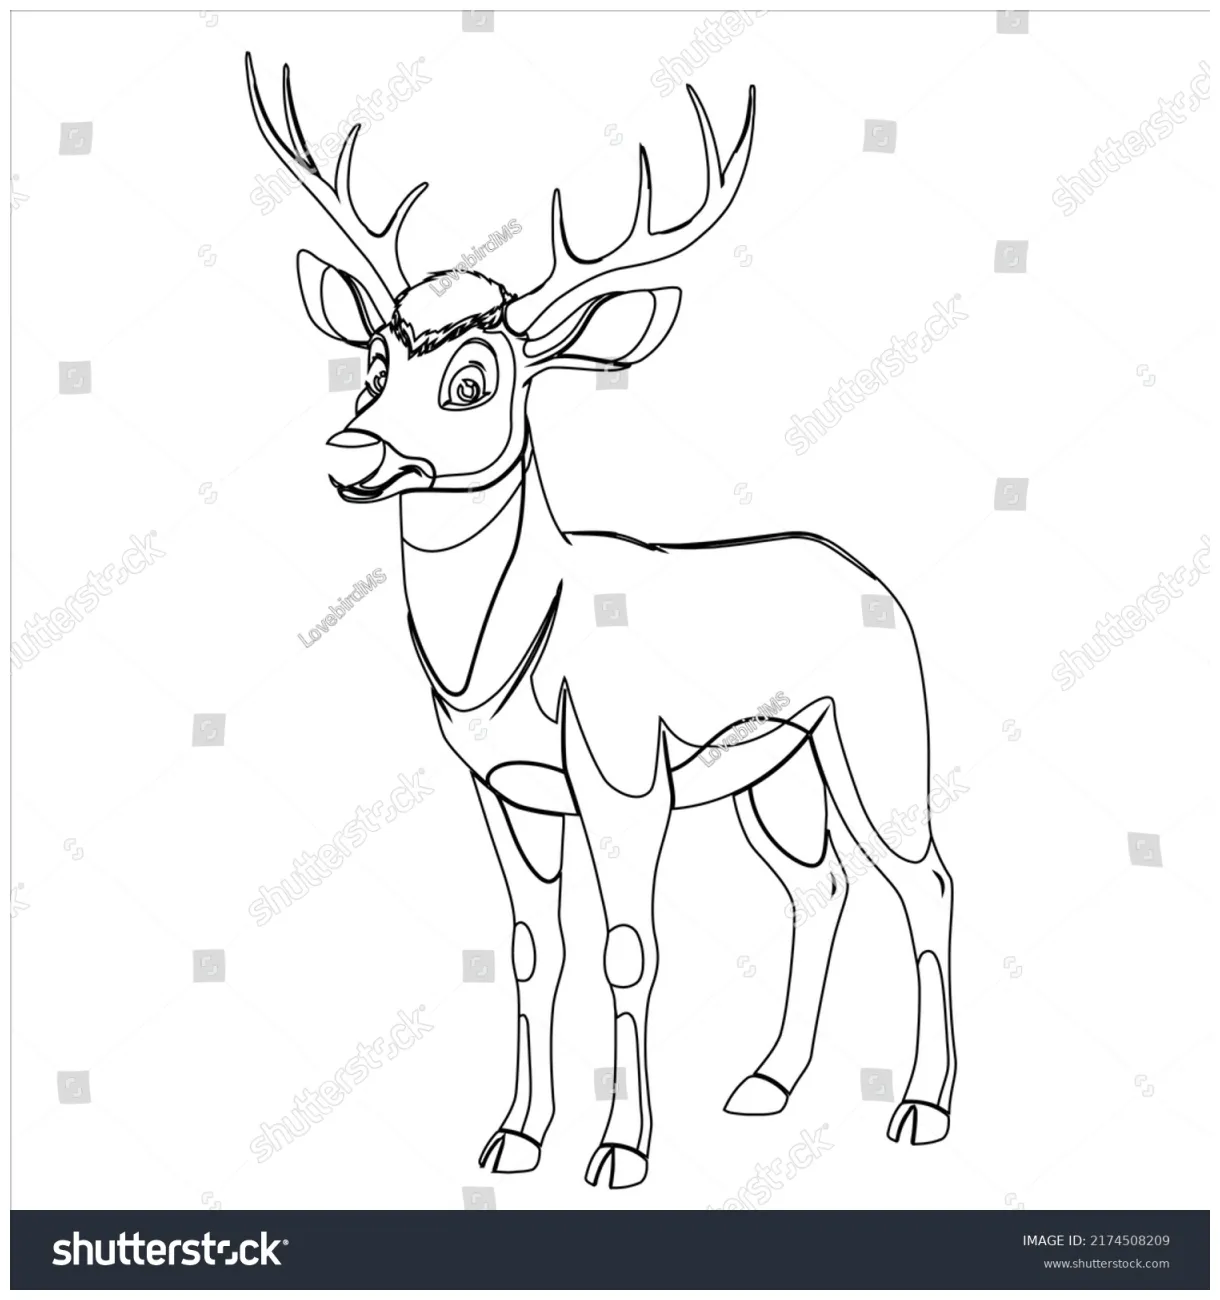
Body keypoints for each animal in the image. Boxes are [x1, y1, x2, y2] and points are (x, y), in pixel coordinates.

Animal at [247, 55, 957, 1189]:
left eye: (470, 380)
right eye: (372, 361)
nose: (349, 452)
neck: (513, 662)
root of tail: (870, 579)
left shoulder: (625, 780)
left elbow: (630, 949)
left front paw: (621, 1149)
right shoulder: (509, 792)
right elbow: (533, 949)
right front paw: (513, 1136)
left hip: (879, 740)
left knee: (923, 881)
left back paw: (921, 1107)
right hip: (772, 772)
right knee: (819, 887)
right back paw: (765, 1083)